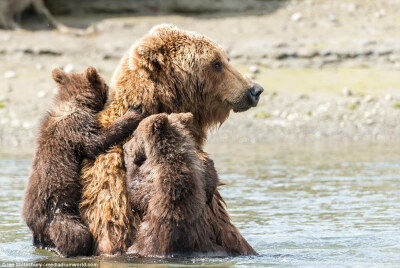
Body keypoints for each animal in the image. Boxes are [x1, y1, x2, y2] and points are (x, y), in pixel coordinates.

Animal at [22, 66, 147, 256]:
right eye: (105, 84)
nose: (109, 87)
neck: (73, 103)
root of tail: (36, 226)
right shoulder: (75, 126)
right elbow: (96, 141)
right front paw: (133, 113)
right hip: (59, 214)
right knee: (76, 236)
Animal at [123, 112, 225, 256]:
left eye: (135, 134)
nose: (124, 146)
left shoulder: (155, 177)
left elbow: (138, 193)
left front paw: (129, 161)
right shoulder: (200, 173)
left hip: (149, 241)